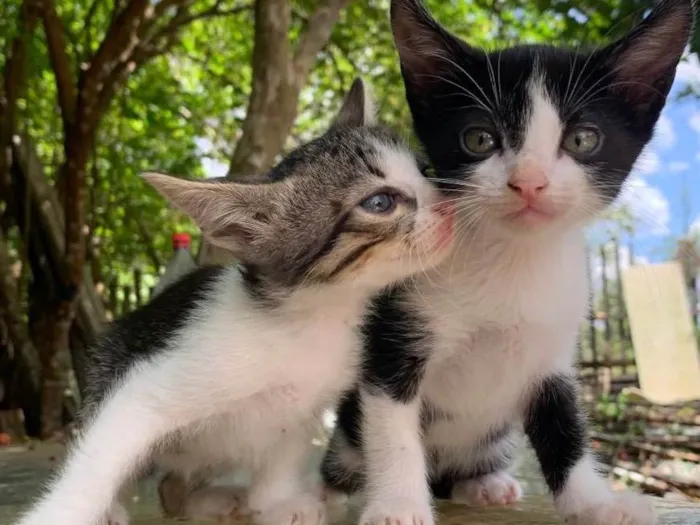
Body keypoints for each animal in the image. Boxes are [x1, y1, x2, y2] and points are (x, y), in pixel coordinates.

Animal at [17, 78, 460, 524]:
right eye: (380, 202)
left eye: (425, 171)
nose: (451, 205)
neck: (311, 319)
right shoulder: (143, 390)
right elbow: (101, 456)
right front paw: (60, 513)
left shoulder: (305, 406)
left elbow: (284, 450)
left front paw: (277, 502)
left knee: (173, 488)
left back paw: (214, 497)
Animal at [322, 1, 696, 524]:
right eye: (479, 139)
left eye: (582, 140)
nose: (529, 181)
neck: (514, 261)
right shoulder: (395, 335)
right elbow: (393, 430)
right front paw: (397, 506)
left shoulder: (553, 354)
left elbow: (565, 430)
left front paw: (596, 503)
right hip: (347, 430)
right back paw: (330, 494)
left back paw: (484, 484)